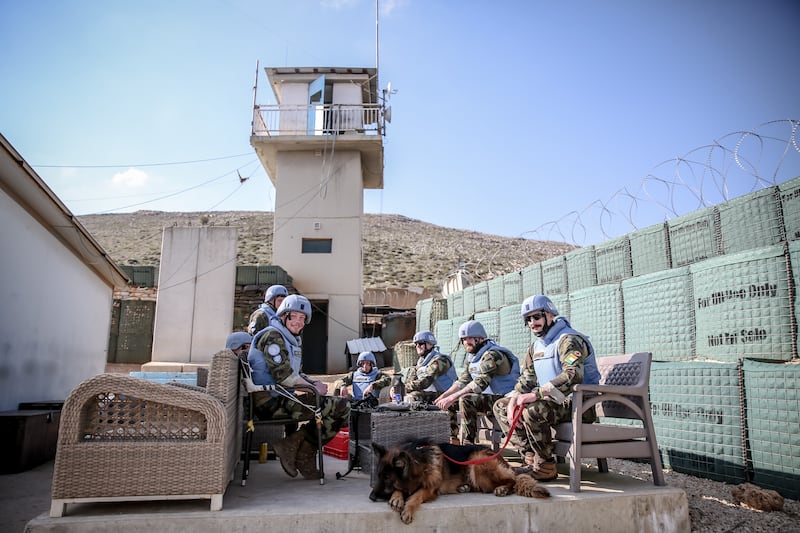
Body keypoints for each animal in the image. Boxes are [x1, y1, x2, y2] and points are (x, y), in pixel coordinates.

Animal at [368, 436, 552, 524]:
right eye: (378, 476)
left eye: (387, 478)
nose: (371, 498)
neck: (419, 460)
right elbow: (401, 489)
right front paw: (397, 498)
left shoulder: (431, 488)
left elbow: (416, 496)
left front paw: (408, 508)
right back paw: (464, 487)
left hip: (477, 462)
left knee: (512, 480)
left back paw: (502, 489)